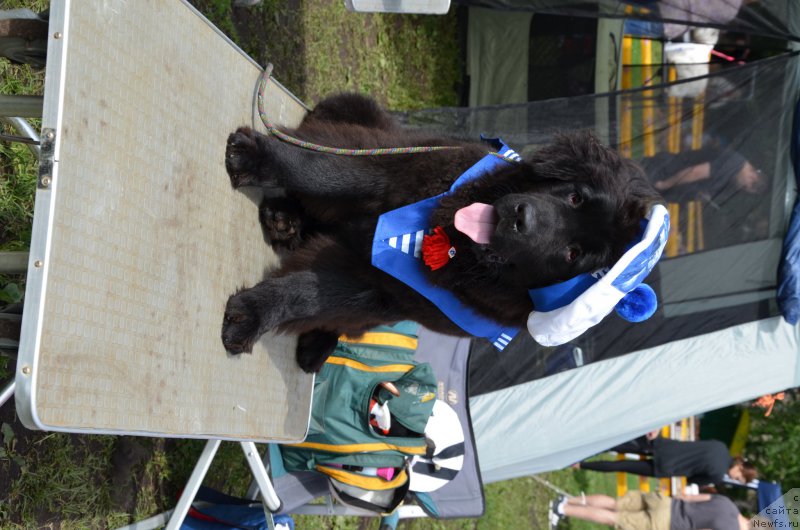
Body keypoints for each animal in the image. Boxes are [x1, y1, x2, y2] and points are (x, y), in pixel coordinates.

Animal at [220, 92, 664, 372]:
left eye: (572, 255)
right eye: (574, 197)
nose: (522, 220)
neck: (448, 239)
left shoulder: (377, 287)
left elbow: (309, 296)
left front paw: (249, 317)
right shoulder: (388, 172)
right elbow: (321, 171)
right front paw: (255, 157)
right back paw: (284, 218)